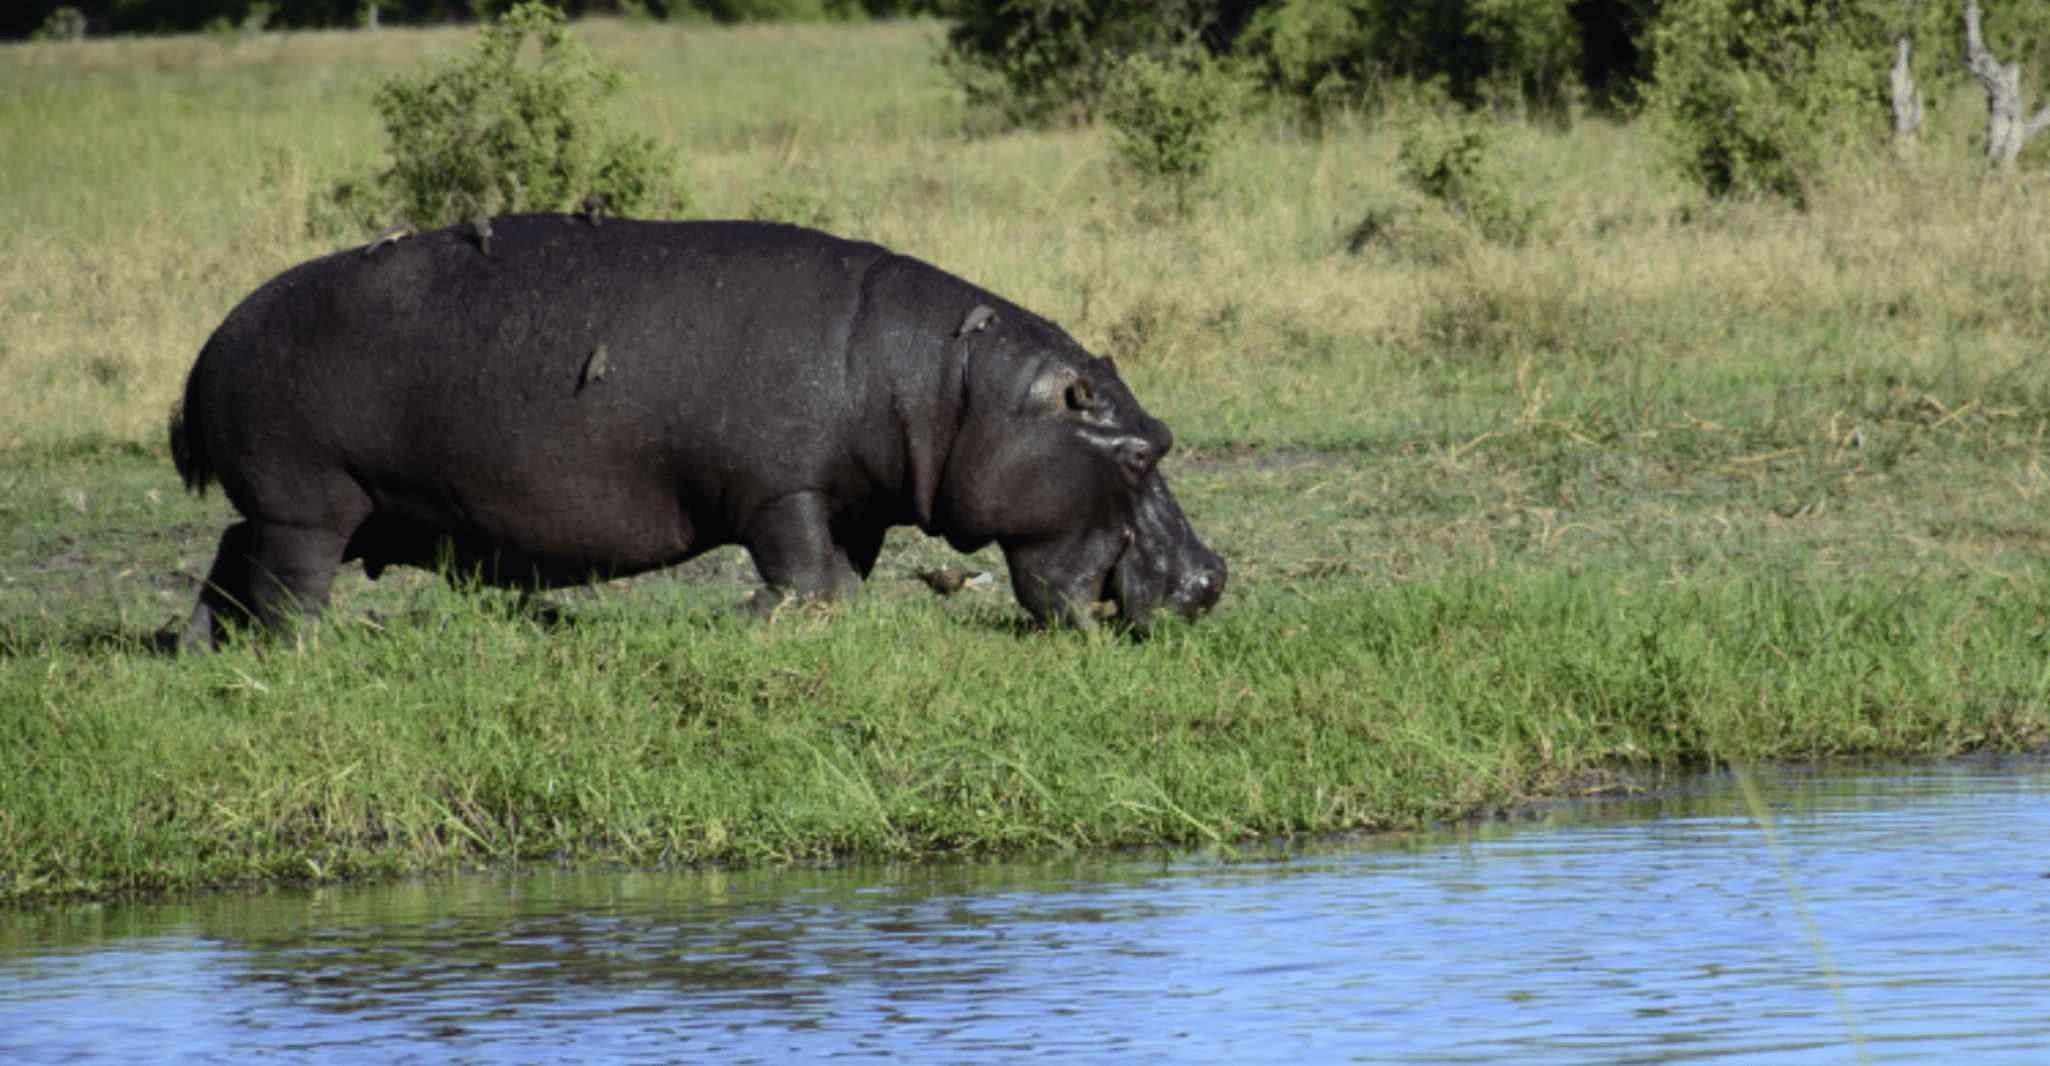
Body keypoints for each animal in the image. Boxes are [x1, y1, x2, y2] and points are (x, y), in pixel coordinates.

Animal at [172, 216, 1213, 647]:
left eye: (1162, 430)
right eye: (1139, 453)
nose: (1211, 581)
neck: (949, 386)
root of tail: (211, 341)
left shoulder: (853, 502)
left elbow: (841, 570)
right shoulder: (781, 488)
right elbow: (801, 567)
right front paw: (758, 624)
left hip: (335, 510)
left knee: (229, 560)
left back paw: (199, 650)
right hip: (309, 504)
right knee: (288, 591)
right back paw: (315, 655)